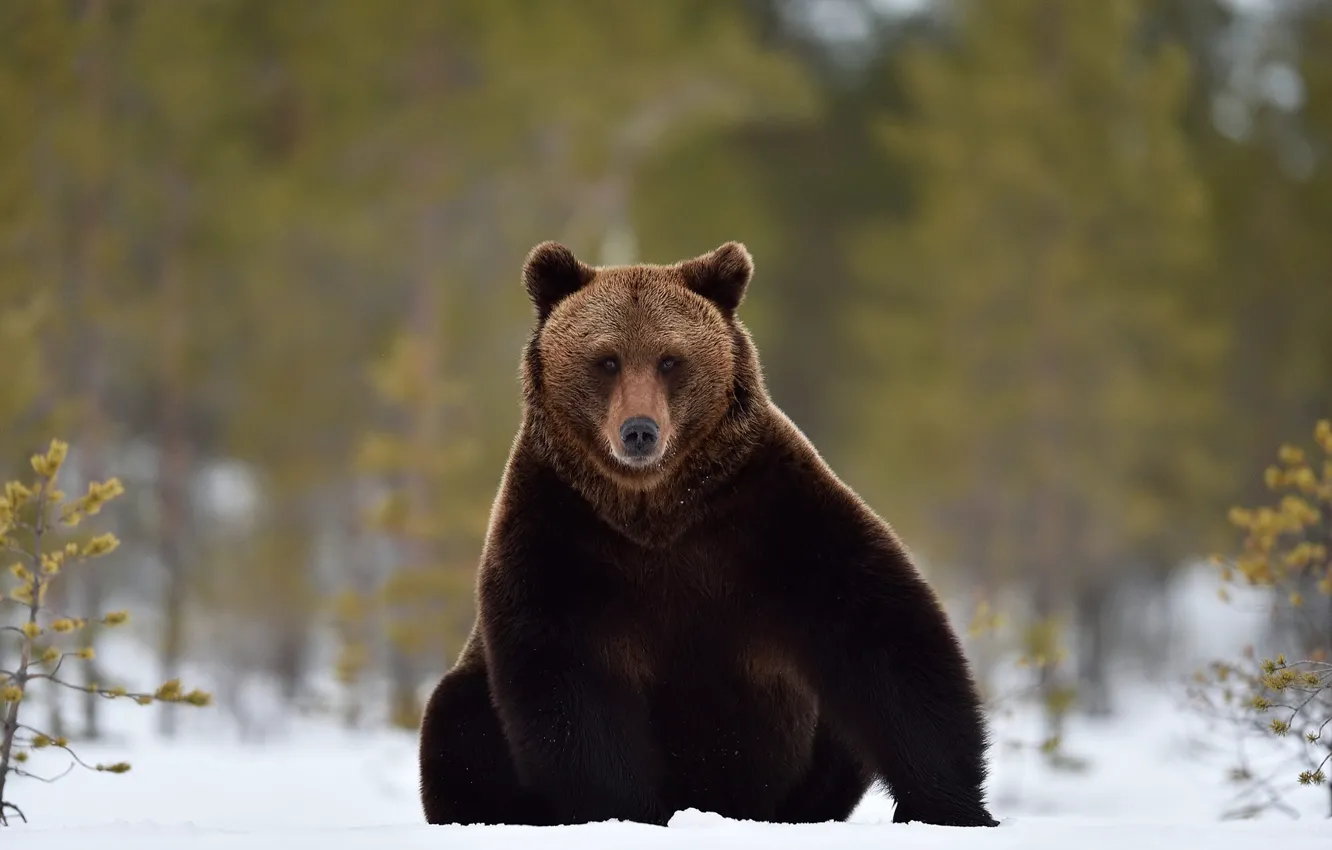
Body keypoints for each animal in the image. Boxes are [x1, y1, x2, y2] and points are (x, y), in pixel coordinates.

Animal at [418, 239, 1001, 831]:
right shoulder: (560, 535)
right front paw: (620, 812)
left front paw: (949, 806)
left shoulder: (767, 518)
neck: (656, 510)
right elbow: (568, 685)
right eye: (607, 360)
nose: (639, 431)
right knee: (456, 721)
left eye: (670, 359)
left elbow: (881, 634)